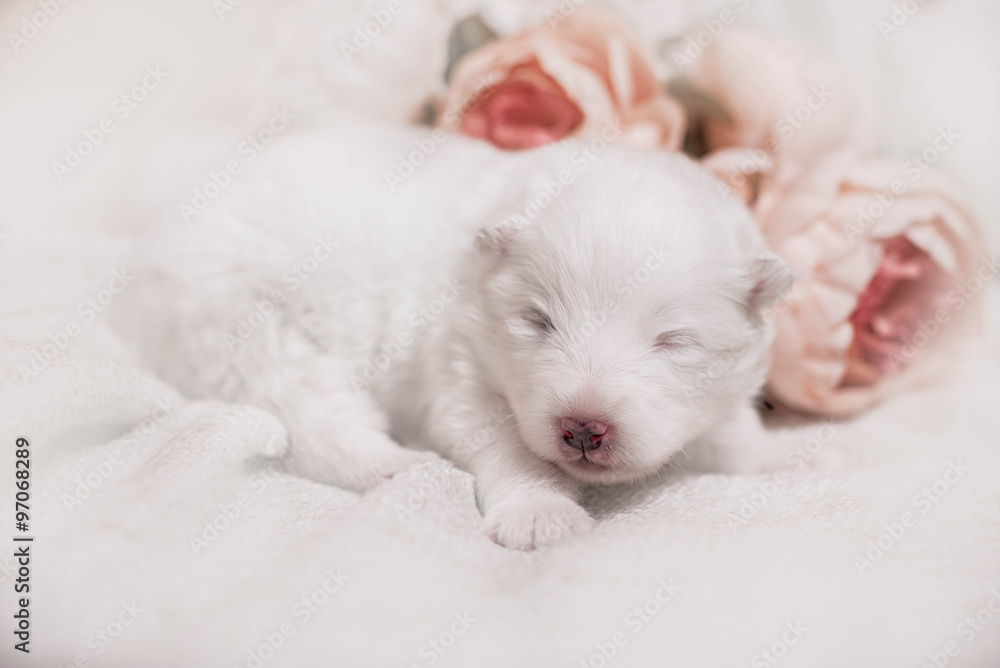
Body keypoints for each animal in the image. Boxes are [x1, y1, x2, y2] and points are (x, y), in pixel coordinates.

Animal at [115, 124, 788, 548]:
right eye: (537, 320)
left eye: (674, 340)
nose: (582, 428)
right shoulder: (461, 370)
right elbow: (513, 451)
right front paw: (541, 515)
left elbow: (731, 431)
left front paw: (769, 454)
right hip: (243, 329)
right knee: (314, 419)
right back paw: (396, 465)